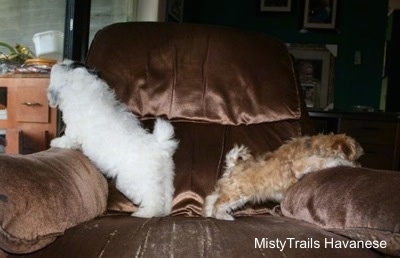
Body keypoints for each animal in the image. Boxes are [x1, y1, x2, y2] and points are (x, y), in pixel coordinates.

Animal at [47, 59, 178, 218]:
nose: (60, 61)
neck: (82, 87)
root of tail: (158, 146)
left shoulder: (73, 130)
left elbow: (68, 138)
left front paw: (57, 142)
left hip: (134, 180)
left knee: (152, 197)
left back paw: (146, 212)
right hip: (166, 175)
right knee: (167, 194)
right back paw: (164, 211)